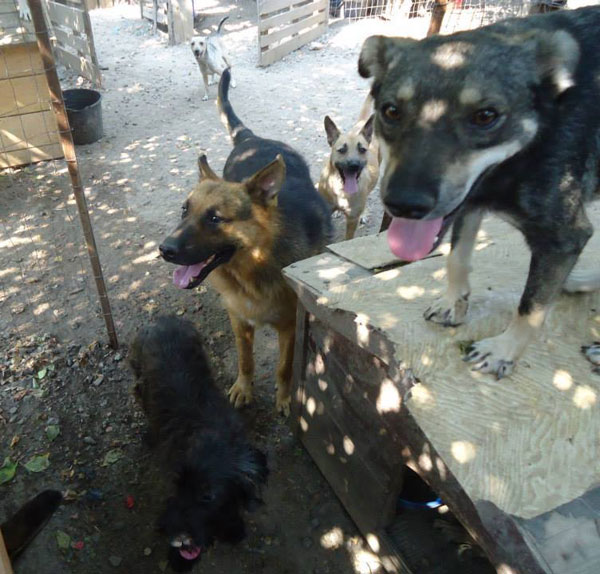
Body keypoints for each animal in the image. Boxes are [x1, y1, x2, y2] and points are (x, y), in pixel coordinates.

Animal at [128, 318, 268, 572]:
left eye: (207, 495)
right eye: (176, 485)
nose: (176, 539)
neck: (211, 431)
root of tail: (161, 319)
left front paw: (233, 527)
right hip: (140, 383)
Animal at [157, 70, 330, 416]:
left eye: (214, 218)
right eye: (184, 210)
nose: (164, 250)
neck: (255, 267)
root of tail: (252, 138)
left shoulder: (289, 328)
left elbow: (284, 368)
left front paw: (284, 398)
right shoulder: (239, 321)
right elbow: (245, 360)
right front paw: (244, 388)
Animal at [358, 7, 596, 382]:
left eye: (486, 116)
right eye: (391, 110)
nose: (404, 204)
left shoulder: (564, 236)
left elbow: (531, 307)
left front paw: (502, 351)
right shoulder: (469, 205)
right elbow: (457, 258)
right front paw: (452, 304)